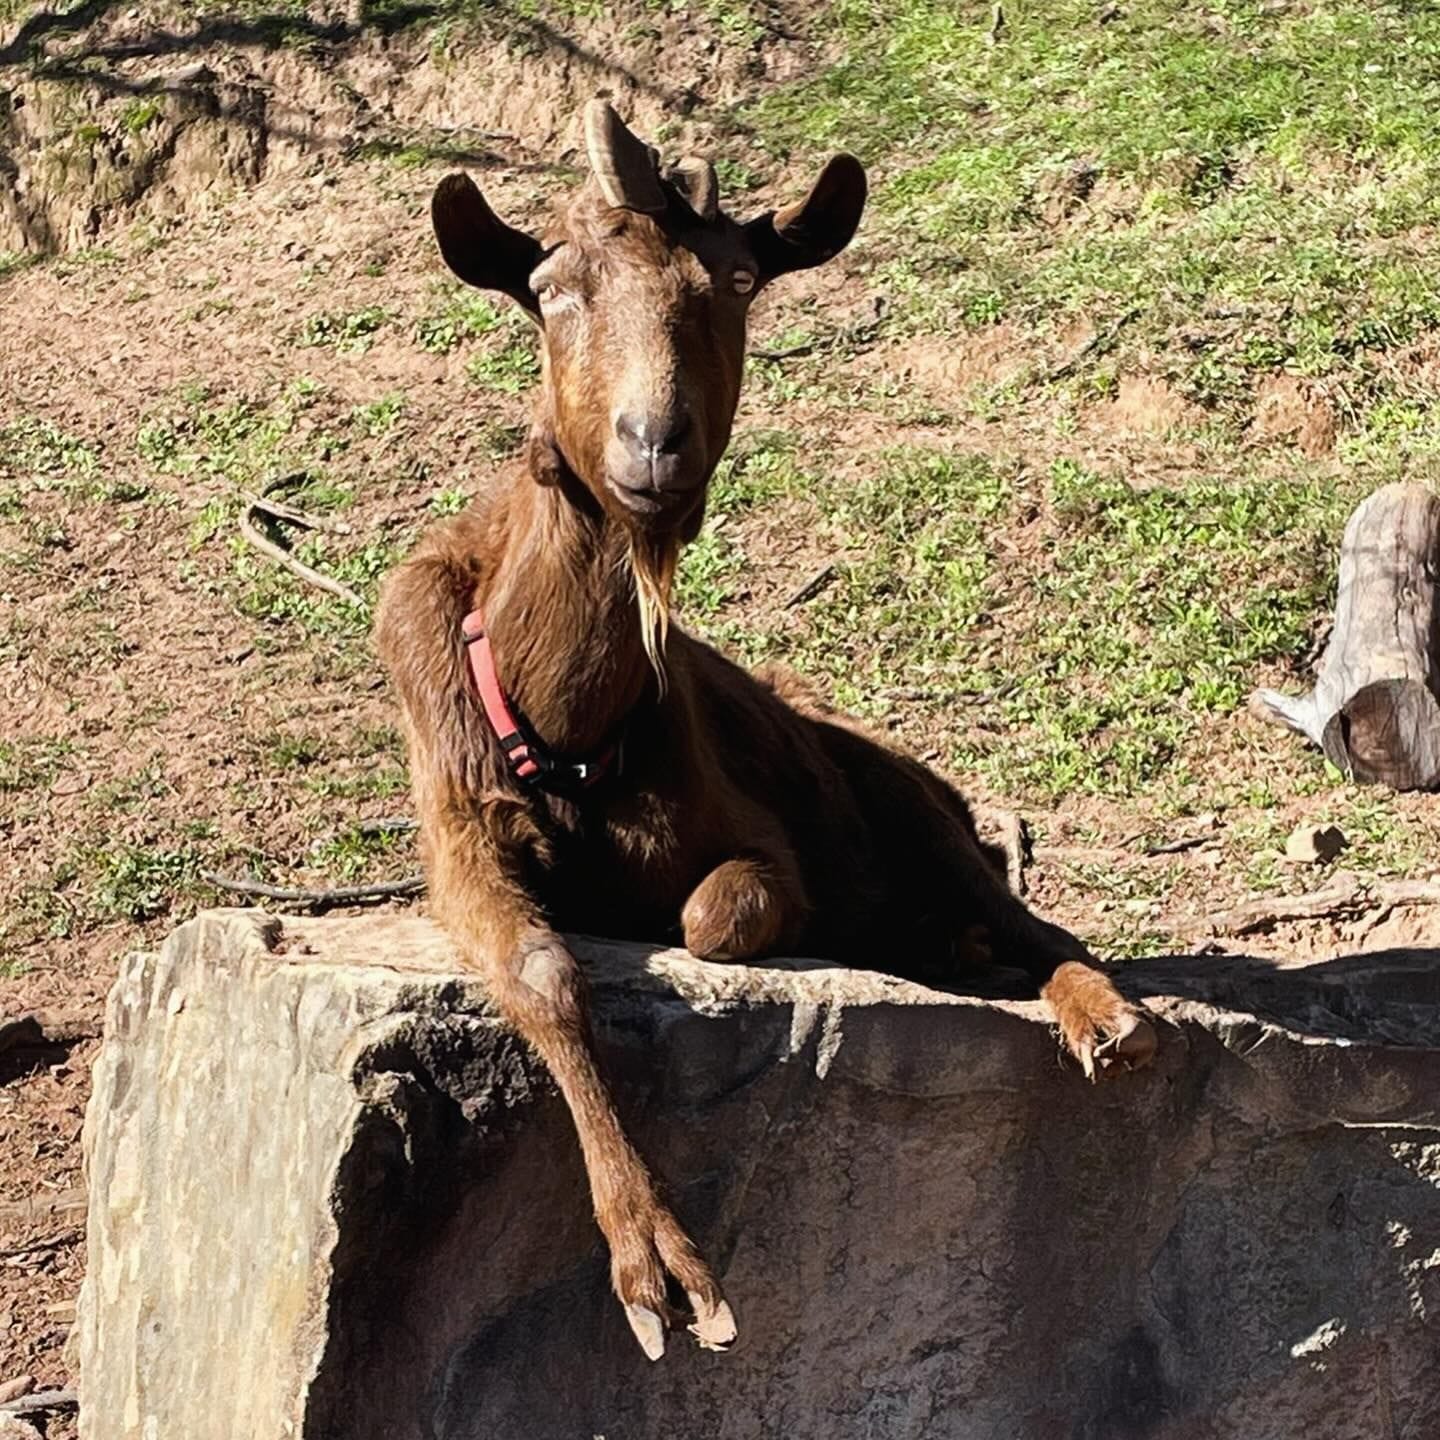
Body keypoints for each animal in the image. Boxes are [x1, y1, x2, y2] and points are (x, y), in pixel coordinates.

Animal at [374, 101, 1157, 1359]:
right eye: (551, 289)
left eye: (737, 279)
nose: (654, 443)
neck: (565, 715)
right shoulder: (456, 825)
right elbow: (540, 970)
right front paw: (652, 1263)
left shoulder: (761, 843)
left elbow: (716, 914)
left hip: (914, 807)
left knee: (1029, 919)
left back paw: (1100, 1016)